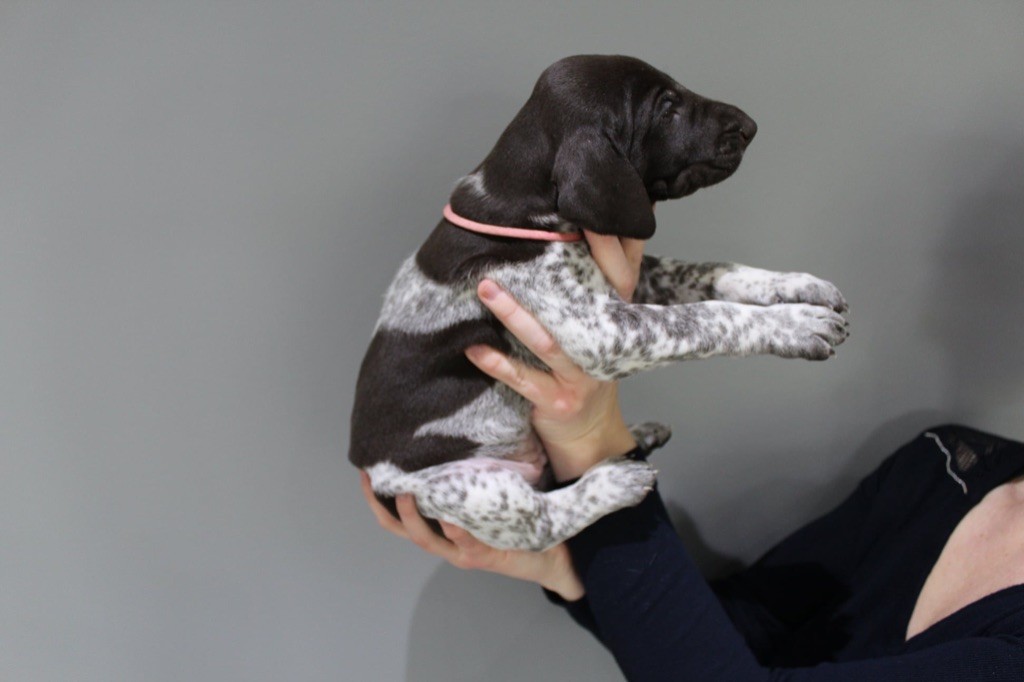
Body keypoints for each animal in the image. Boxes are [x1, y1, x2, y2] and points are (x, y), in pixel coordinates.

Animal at [350, 55, 848, 551]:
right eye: (666, 107)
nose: (750, 126)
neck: (527, 207)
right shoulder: (601, 329)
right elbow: (706, 315)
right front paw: (795, 324)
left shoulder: (630, 281)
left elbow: (709, 271)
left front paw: (794, 284)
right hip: (464, 488)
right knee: (543, 521)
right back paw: (612, 481)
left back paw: (638, 438)